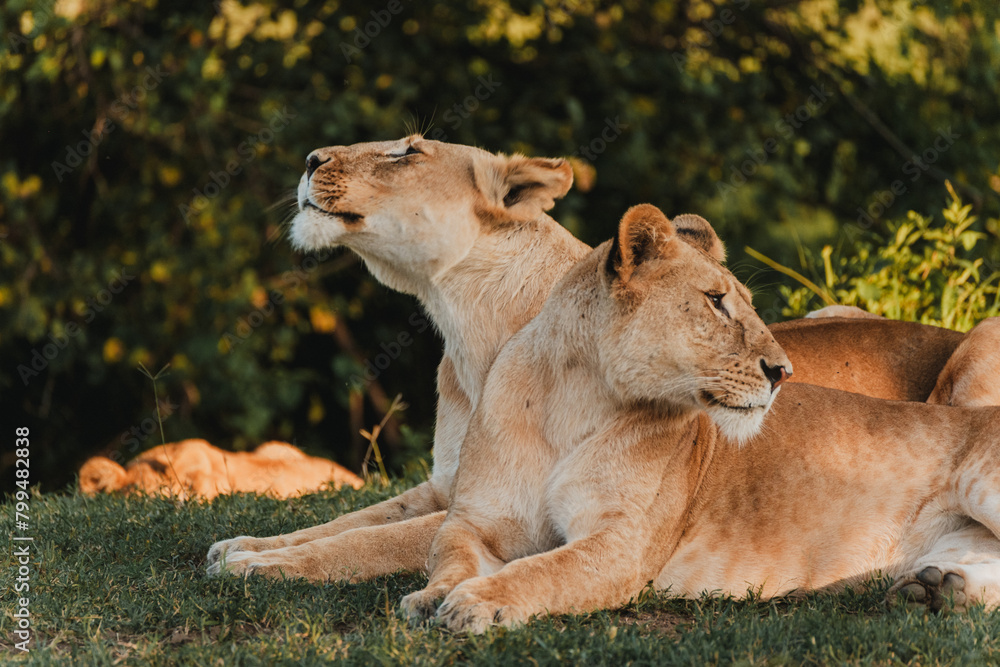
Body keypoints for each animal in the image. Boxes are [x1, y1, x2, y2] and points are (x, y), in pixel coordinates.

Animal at [204, 135, 994, 585]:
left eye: (409, 151)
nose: (310, 160)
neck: (464, 324)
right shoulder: (449, 486)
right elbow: (345, 523)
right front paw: (245, 543)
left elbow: (364, 545)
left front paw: (258, 564)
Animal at [399, 204, 1000, 633]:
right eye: (715, 300)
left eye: (747, 302)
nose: (783, 371)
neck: (574, 404)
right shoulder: (474, 520)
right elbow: (445, 557)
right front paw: (432, 598)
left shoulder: (622, 545)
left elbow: (541, 569)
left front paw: (476, 603)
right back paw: (934, 590)